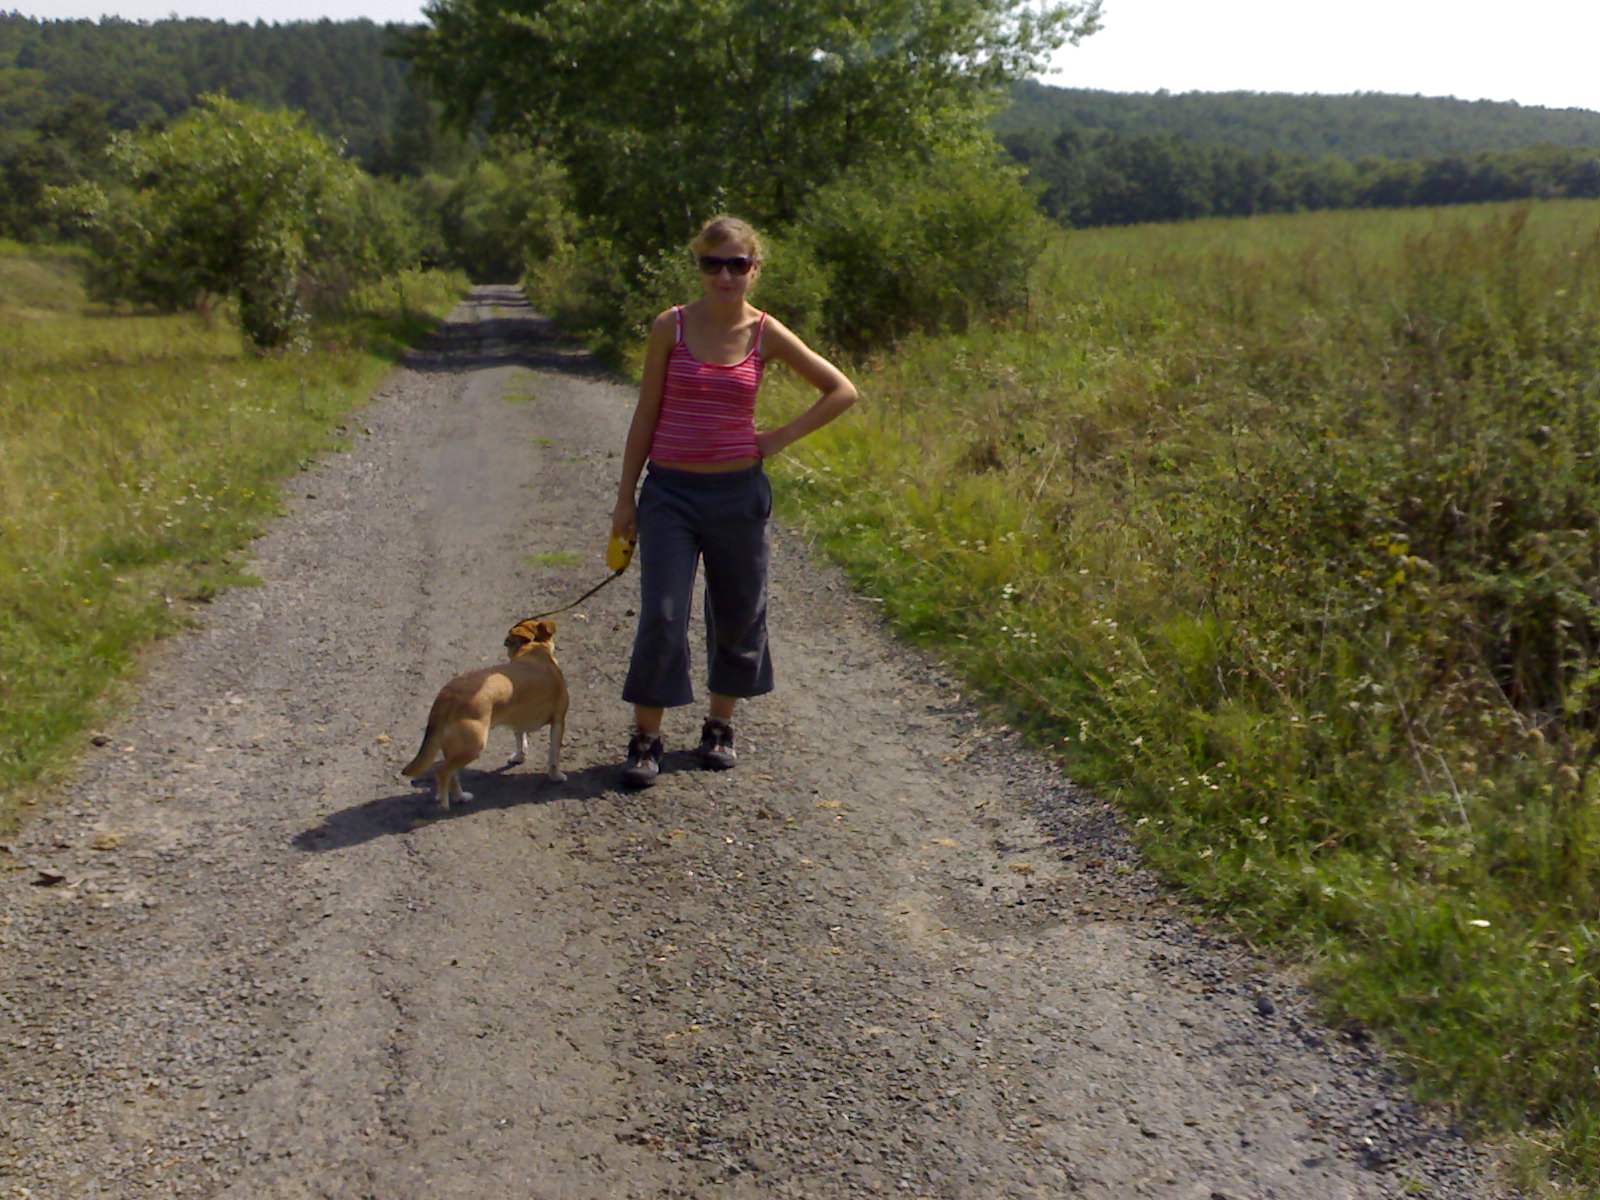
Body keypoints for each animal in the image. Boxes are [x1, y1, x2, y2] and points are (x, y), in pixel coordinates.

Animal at [400, 617, 568, 809]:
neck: (535, 650)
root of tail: (448, 693)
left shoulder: (518, 721)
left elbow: (520, 740)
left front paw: (519, 756)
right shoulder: (558, 722)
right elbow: (553, 755)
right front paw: (556, 776)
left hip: (454, 747)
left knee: (452, 774)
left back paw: (460, 797)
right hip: (474, 745)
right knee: (443, 771)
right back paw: (444, 802)